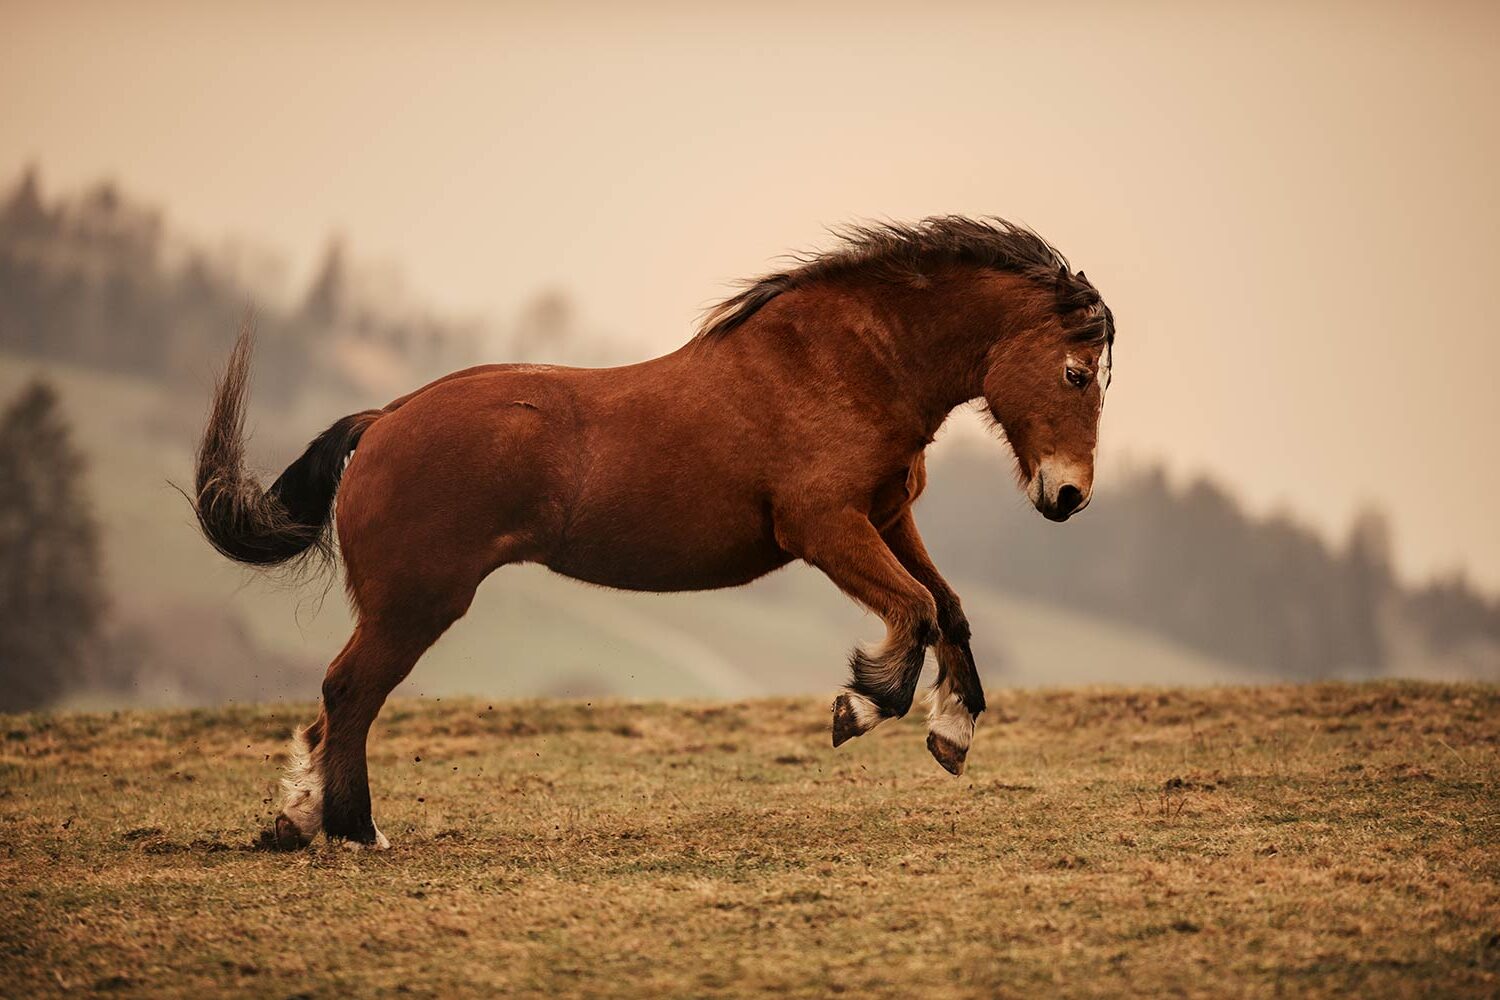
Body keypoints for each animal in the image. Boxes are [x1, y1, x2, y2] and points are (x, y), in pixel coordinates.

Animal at [192, 216, 1115, 850]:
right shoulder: (825, 528)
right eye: (1075, 372)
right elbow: (917, 611)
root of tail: (383, 420)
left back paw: (299, 819)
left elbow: (948, 609)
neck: (840, 366)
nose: (1069, 494)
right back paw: (354, 829)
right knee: (349, 692)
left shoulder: (889, 515)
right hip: (415, 603)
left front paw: (951, 732)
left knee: (336, 701)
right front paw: (859, 706)